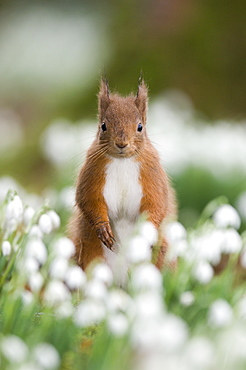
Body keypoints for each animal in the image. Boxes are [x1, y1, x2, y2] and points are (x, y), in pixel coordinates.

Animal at [70, 76, 176, 276]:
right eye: (103, 126)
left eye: (140, 127)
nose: (121, 143)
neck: (122, 161)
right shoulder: (91, 174)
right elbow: (88, 200)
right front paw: (103, 229)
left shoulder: (153, 177)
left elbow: (157, 203)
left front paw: (147, 232)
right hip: (87, 254)